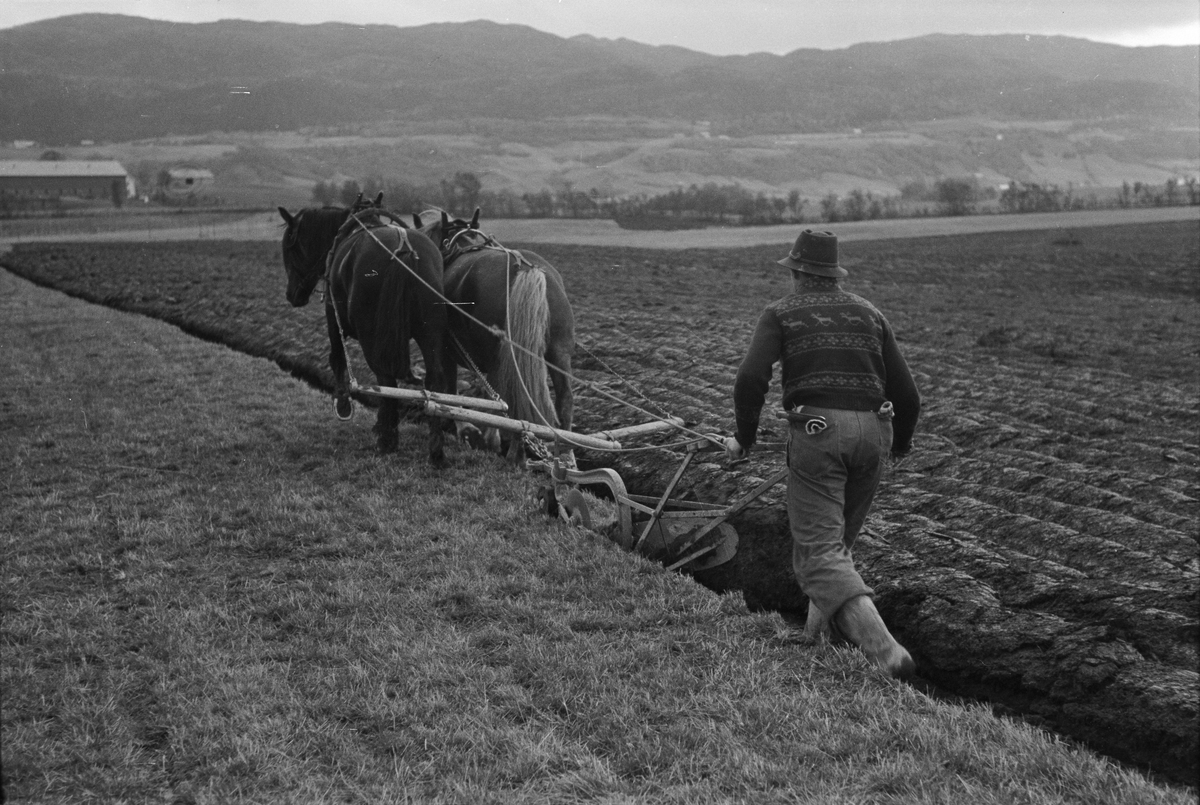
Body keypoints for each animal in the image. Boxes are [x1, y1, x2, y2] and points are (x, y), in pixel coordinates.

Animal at [276, 205, 453, 463]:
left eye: (289, 248)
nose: (291, 295)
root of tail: (404, 247)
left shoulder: (332, 314)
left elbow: (337, 358)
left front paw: (342, 404)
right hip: (430, 331)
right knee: (435, 380)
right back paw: (436, 449)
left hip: (373, 337)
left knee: (385, 380)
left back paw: (387, 438)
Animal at [417, 207, 576, 460]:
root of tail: (527, 269)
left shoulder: (447, 350)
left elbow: (452, 389)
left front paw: (461, 428)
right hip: (559, 353)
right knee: (564, 400)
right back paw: (566, 455)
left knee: (512, 398)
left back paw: (510, 452)